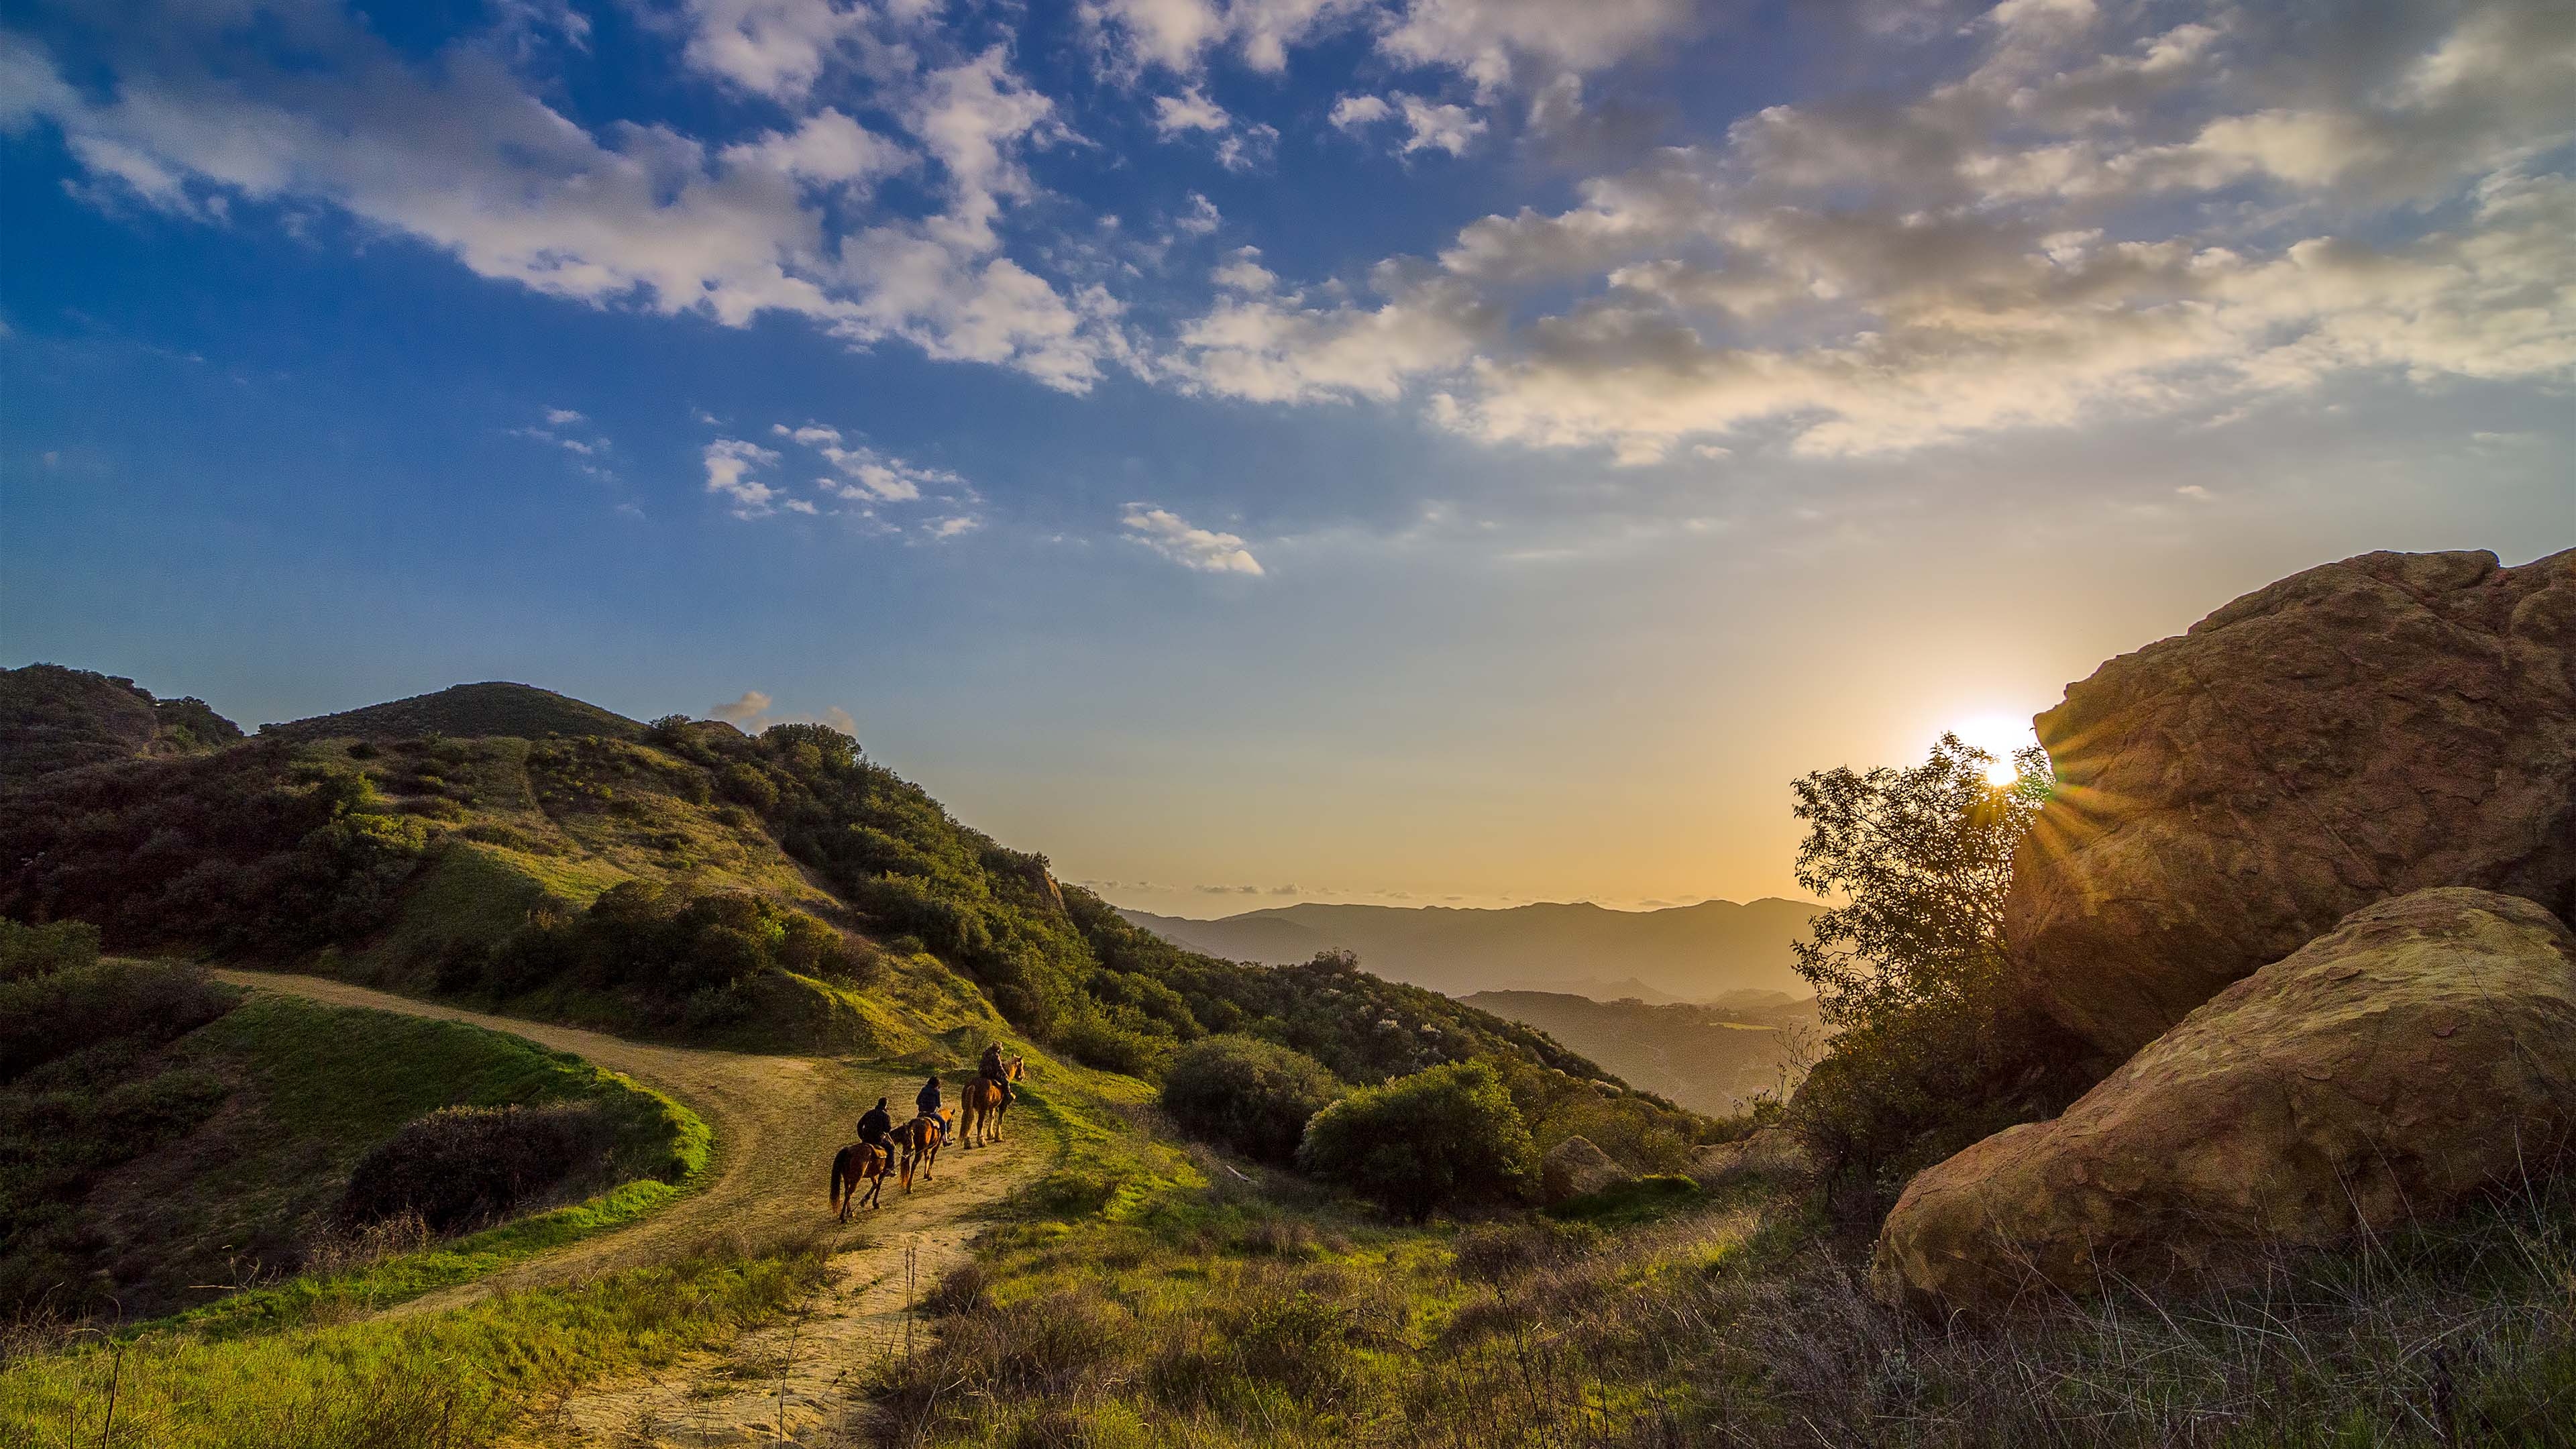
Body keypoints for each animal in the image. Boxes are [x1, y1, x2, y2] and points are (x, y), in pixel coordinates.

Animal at [958, 1057, 1025, 1144]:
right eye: (1021, 1065)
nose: (1023, 1077)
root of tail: (973, 1085)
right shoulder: (1003, 1106)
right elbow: (1000, 1120)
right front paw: (998, 1137)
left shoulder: (992, 1107)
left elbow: (992, 1117)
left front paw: (990, 1134)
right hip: (982, 1110)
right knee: (979, 1123)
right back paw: (981, 1141)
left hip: (968, 1108)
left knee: (968, 1121)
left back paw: (968, 1143)